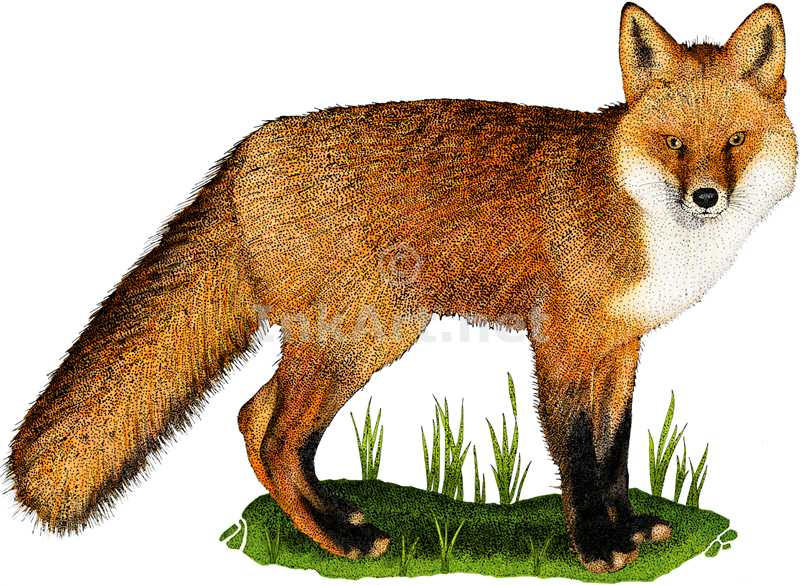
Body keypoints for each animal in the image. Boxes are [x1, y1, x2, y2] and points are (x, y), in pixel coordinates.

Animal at [8, 2, 796, 574]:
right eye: (673, 142)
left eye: (735, 140)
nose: (704, 197)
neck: (643, 216)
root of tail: (249, 147)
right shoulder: (562, 343)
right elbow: (577, 456)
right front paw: (598, 547)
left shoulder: (620, 347)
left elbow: (615, 451)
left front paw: (628, 527)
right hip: (361, 337)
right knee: (273, 434)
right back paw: (342, 542)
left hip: (356, 339)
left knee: (255, 420)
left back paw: (335, 517)